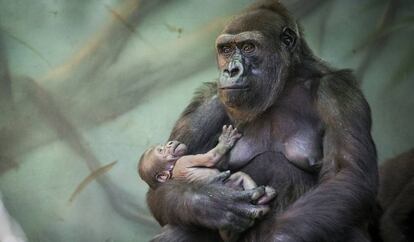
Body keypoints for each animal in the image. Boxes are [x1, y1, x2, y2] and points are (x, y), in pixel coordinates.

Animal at [138, 125, 274, 241]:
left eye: (163, 147)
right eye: (161, 150)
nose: (170, 143)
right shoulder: (185, 159)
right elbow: (210, 158)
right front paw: (225, 141)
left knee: (240, 176)